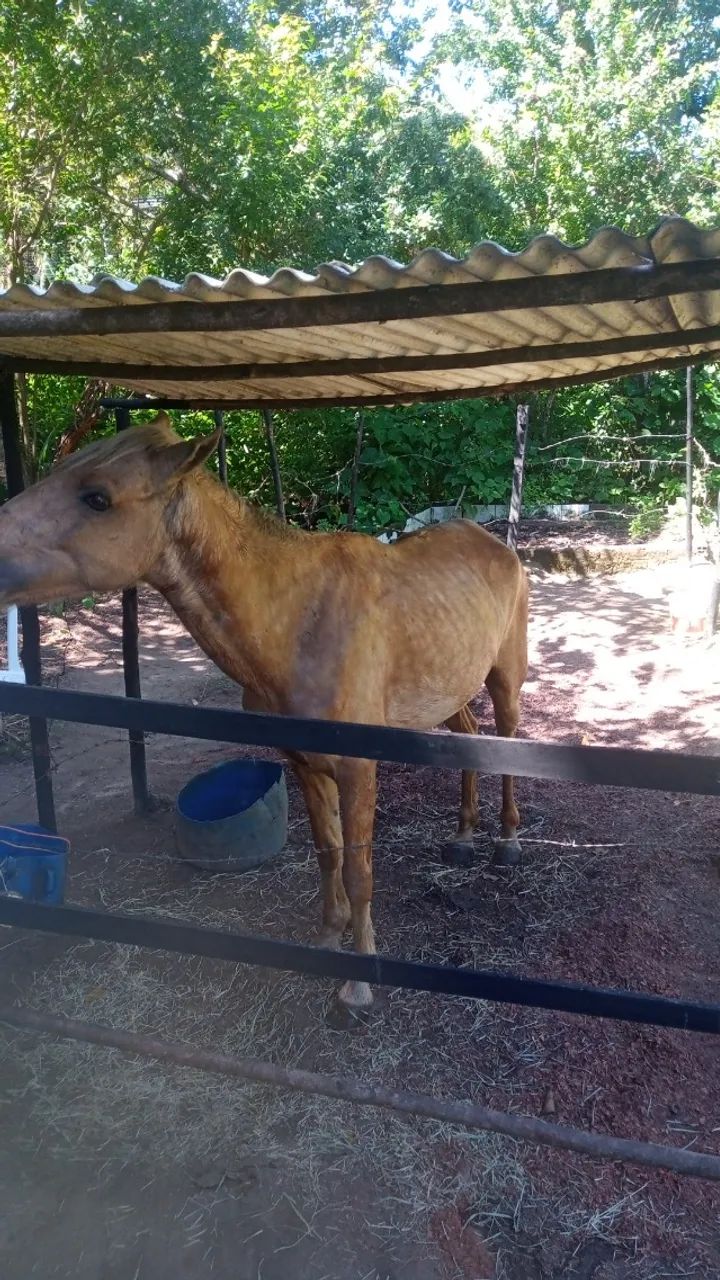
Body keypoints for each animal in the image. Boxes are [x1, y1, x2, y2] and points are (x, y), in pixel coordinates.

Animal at [0, 414, 529, 1012]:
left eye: (98, 497)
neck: (298, 621)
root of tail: (497, 544)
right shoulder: (305, 764)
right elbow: (328, 854)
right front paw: (328, 940)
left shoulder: (357, 769)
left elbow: (359, 870)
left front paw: (359, 983)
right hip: (449, 692)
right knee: (471, 740)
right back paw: (462, 837)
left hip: (505, 679)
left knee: (507, 741)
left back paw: (507, 842)